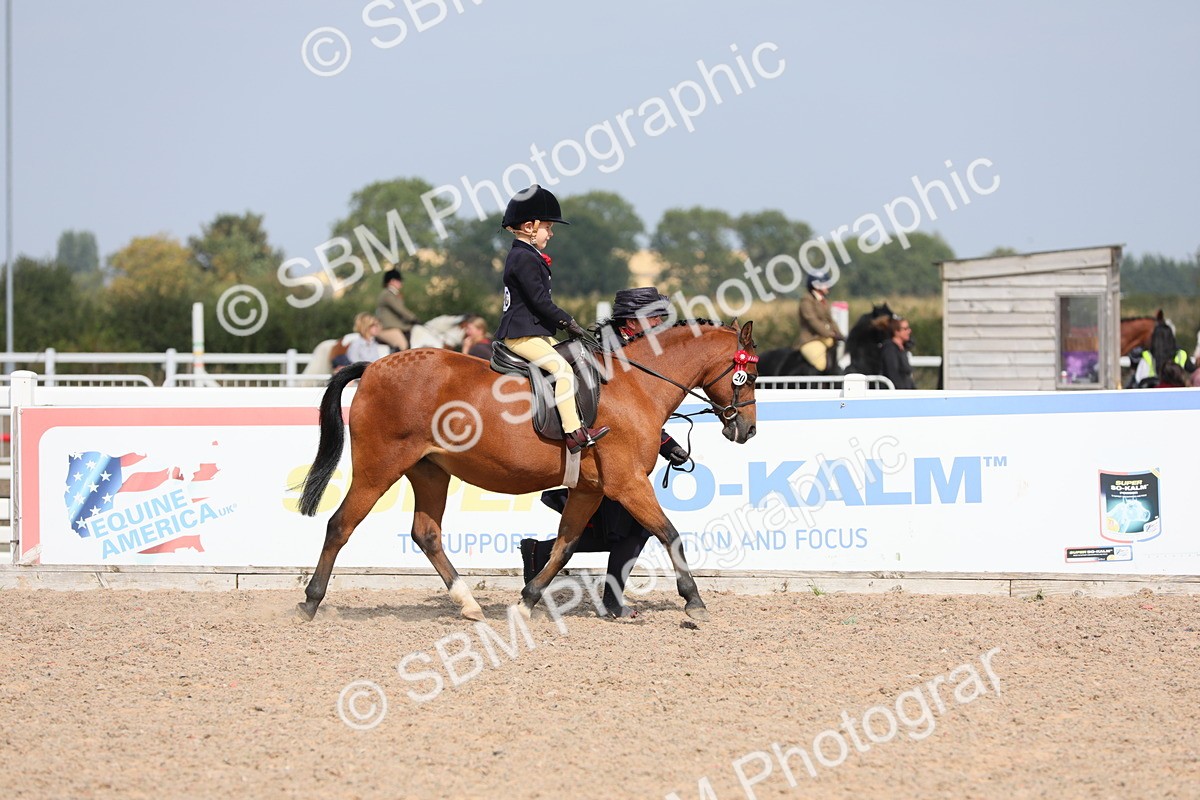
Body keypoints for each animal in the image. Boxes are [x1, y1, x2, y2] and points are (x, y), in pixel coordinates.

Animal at [295, 319, 759, 623]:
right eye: (750, 375)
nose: (748, 429)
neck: (634, 385)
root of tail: (374, 367)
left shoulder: (590, 490)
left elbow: (566, 546)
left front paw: (527, 600)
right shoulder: (628, 484)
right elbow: (669, 533)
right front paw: (694, 600)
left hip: (430, 472)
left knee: (426, 534)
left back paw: (469, 605)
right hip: (379, 469)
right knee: (340, 525)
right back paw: (311, 601)